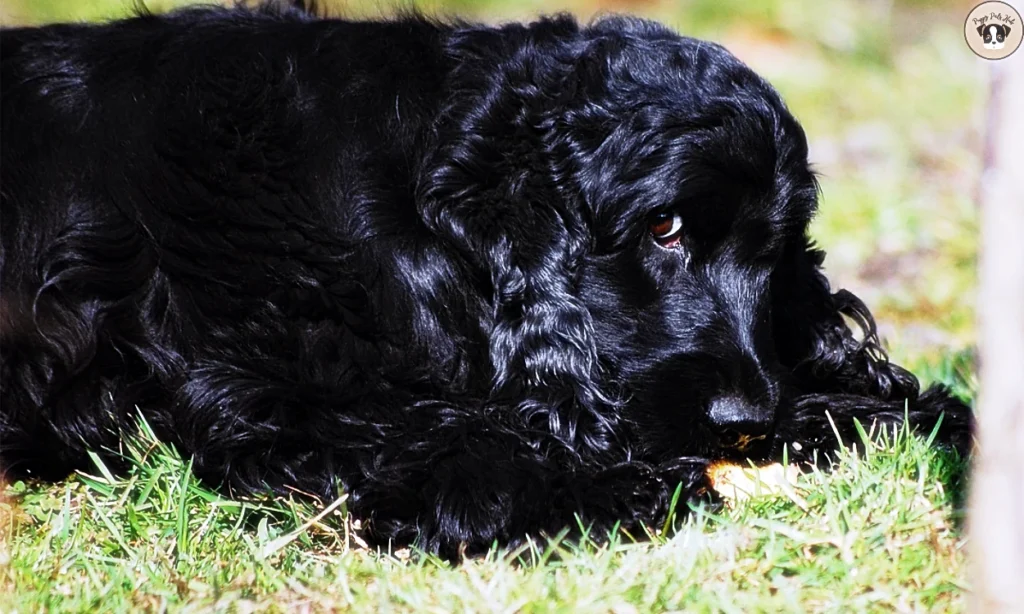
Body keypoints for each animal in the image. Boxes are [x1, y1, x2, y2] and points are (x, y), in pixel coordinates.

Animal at [0, 2, 970, 556]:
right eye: (664, 229)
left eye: (777, 250)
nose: (746, 421)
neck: (410, 190)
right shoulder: (277, 387)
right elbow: (465, 449)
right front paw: (607, 484)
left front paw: (906, 412)